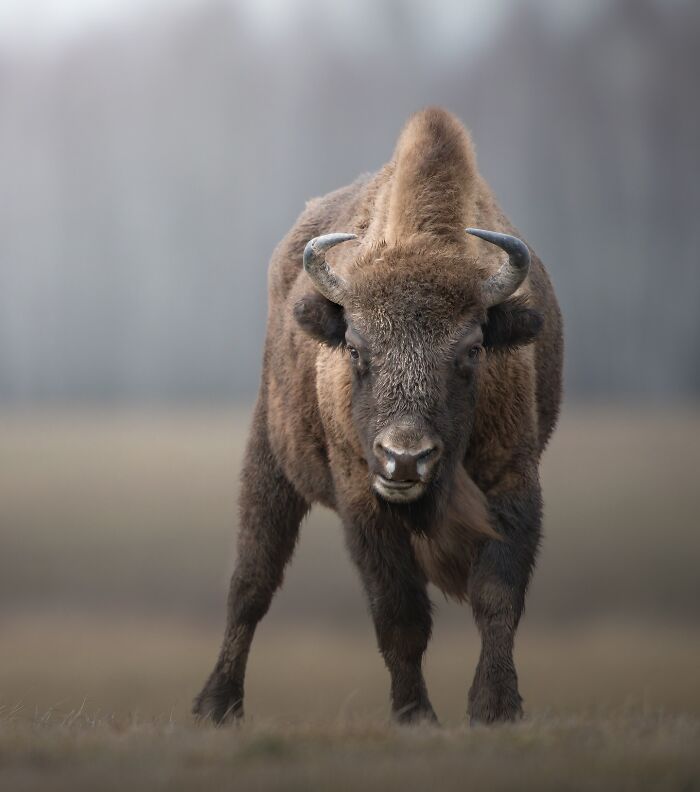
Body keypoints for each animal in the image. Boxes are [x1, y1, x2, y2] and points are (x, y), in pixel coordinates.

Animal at [194, 107, 563, 725]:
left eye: (472, 350)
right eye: (356, 348)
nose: (404, 458)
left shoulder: (513, 481)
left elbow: (497, 597)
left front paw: (495, 709)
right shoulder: (361, 499)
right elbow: (400, 616)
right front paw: (415, 716)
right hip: (269, 456)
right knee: (251, 581)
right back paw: (216, 706)